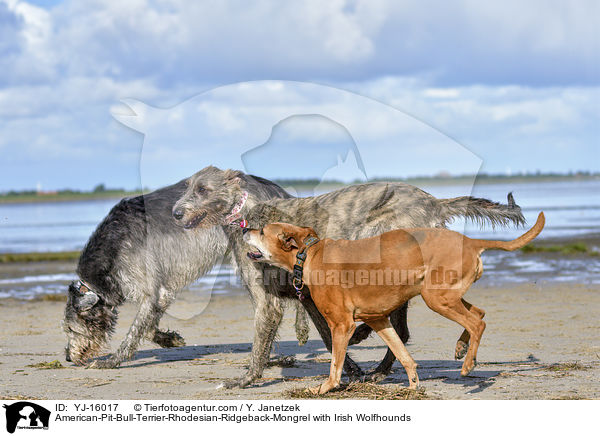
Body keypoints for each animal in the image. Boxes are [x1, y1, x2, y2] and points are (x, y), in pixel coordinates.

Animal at [171, 166, 524, 384]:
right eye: (186, 187)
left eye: (203, 189)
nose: (175, 212)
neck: (246, 215)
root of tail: (434, 202)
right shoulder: (308, 294)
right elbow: (328, 338)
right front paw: (351, 367)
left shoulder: (270, 301)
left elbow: (262, 343)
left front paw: (245, 380)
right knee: (420, 322)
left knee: (402, 324)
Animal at [243, 213, 544, 394]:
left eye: (262, 230)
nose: (244, 228)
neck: (308, 255)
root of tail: (470, 241)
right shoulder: (378, 319)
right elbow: (402, 353)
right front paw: (412, 385)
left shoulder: (341, 325)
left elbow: (336, 364)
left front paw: (325, 388)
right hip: (444, 294)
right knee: (479, 313)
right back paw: (461, 347)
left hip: (437, 298)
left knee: (477, 323)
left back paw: (469, 363)